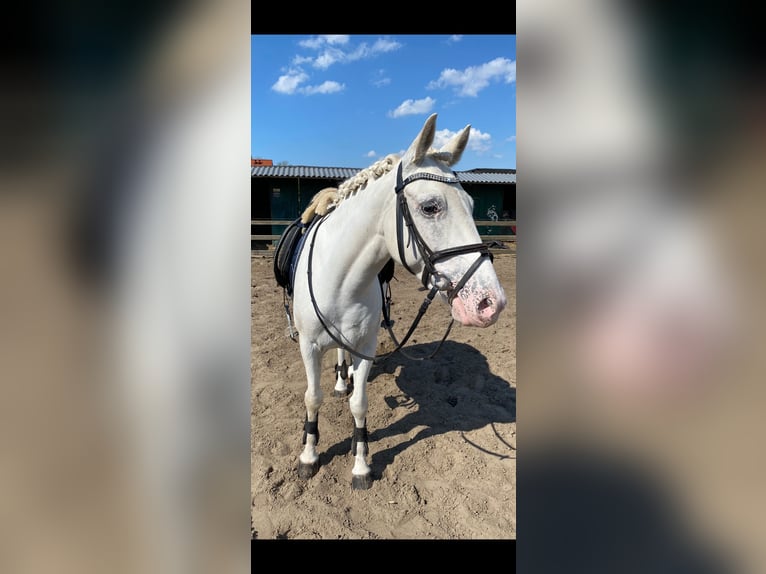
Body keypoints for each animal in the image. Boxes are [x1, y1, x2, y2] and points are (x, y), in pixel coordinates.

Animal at [292, 113, 508, 490]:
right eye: (430, 207)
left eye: (471, 206)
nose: (489, 303)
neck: (339, 278)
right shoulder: (308, 345)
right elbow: (312, 397)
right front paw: (309, 456)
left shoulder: (366, 345)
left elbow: (359, 404)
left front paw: (360, 463)